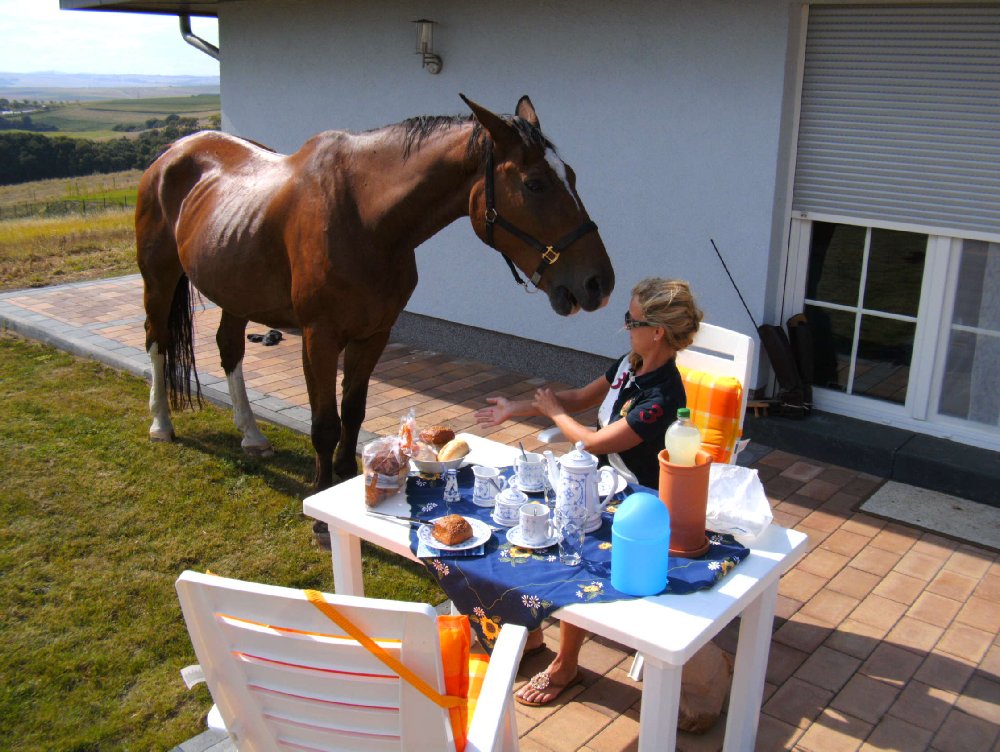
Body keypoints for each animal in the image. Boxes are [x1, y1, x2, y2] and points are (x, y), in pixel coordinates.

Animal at [137, 94, 612, 494]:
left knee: (229, 349)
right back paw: (160, 424)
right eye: (535, 184)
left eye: (571, 176)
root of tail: (172, 153)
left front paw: (349, 474)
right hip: (159, 279)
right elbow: (325, 423)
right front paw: (321, 492)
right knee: (157, 341)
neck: (365, 218)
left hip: (237, 290)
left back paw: (252, 436)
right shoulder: (319, 337)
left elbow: (353, 412)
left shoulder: (374, 334)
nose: (599, 283)